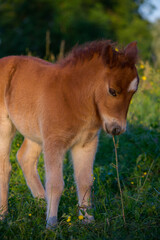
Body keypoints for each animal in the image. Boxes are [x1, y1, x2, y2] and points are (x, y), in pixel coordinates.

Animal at [0, 39, 138, 229]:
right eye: (112, 91)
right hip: (5, 126)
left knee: (24, 158)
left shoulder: (86, 144)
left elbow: (85, 181)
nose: (117, 129)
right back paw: (4, 215)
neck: (73, 98)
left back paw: (41, 203)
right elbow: (56, 184)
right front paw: (51, 224)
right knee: (5, 167)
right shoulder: (54, 143)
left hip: (35, 132)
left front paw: (88, 220)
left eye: (133, 92)